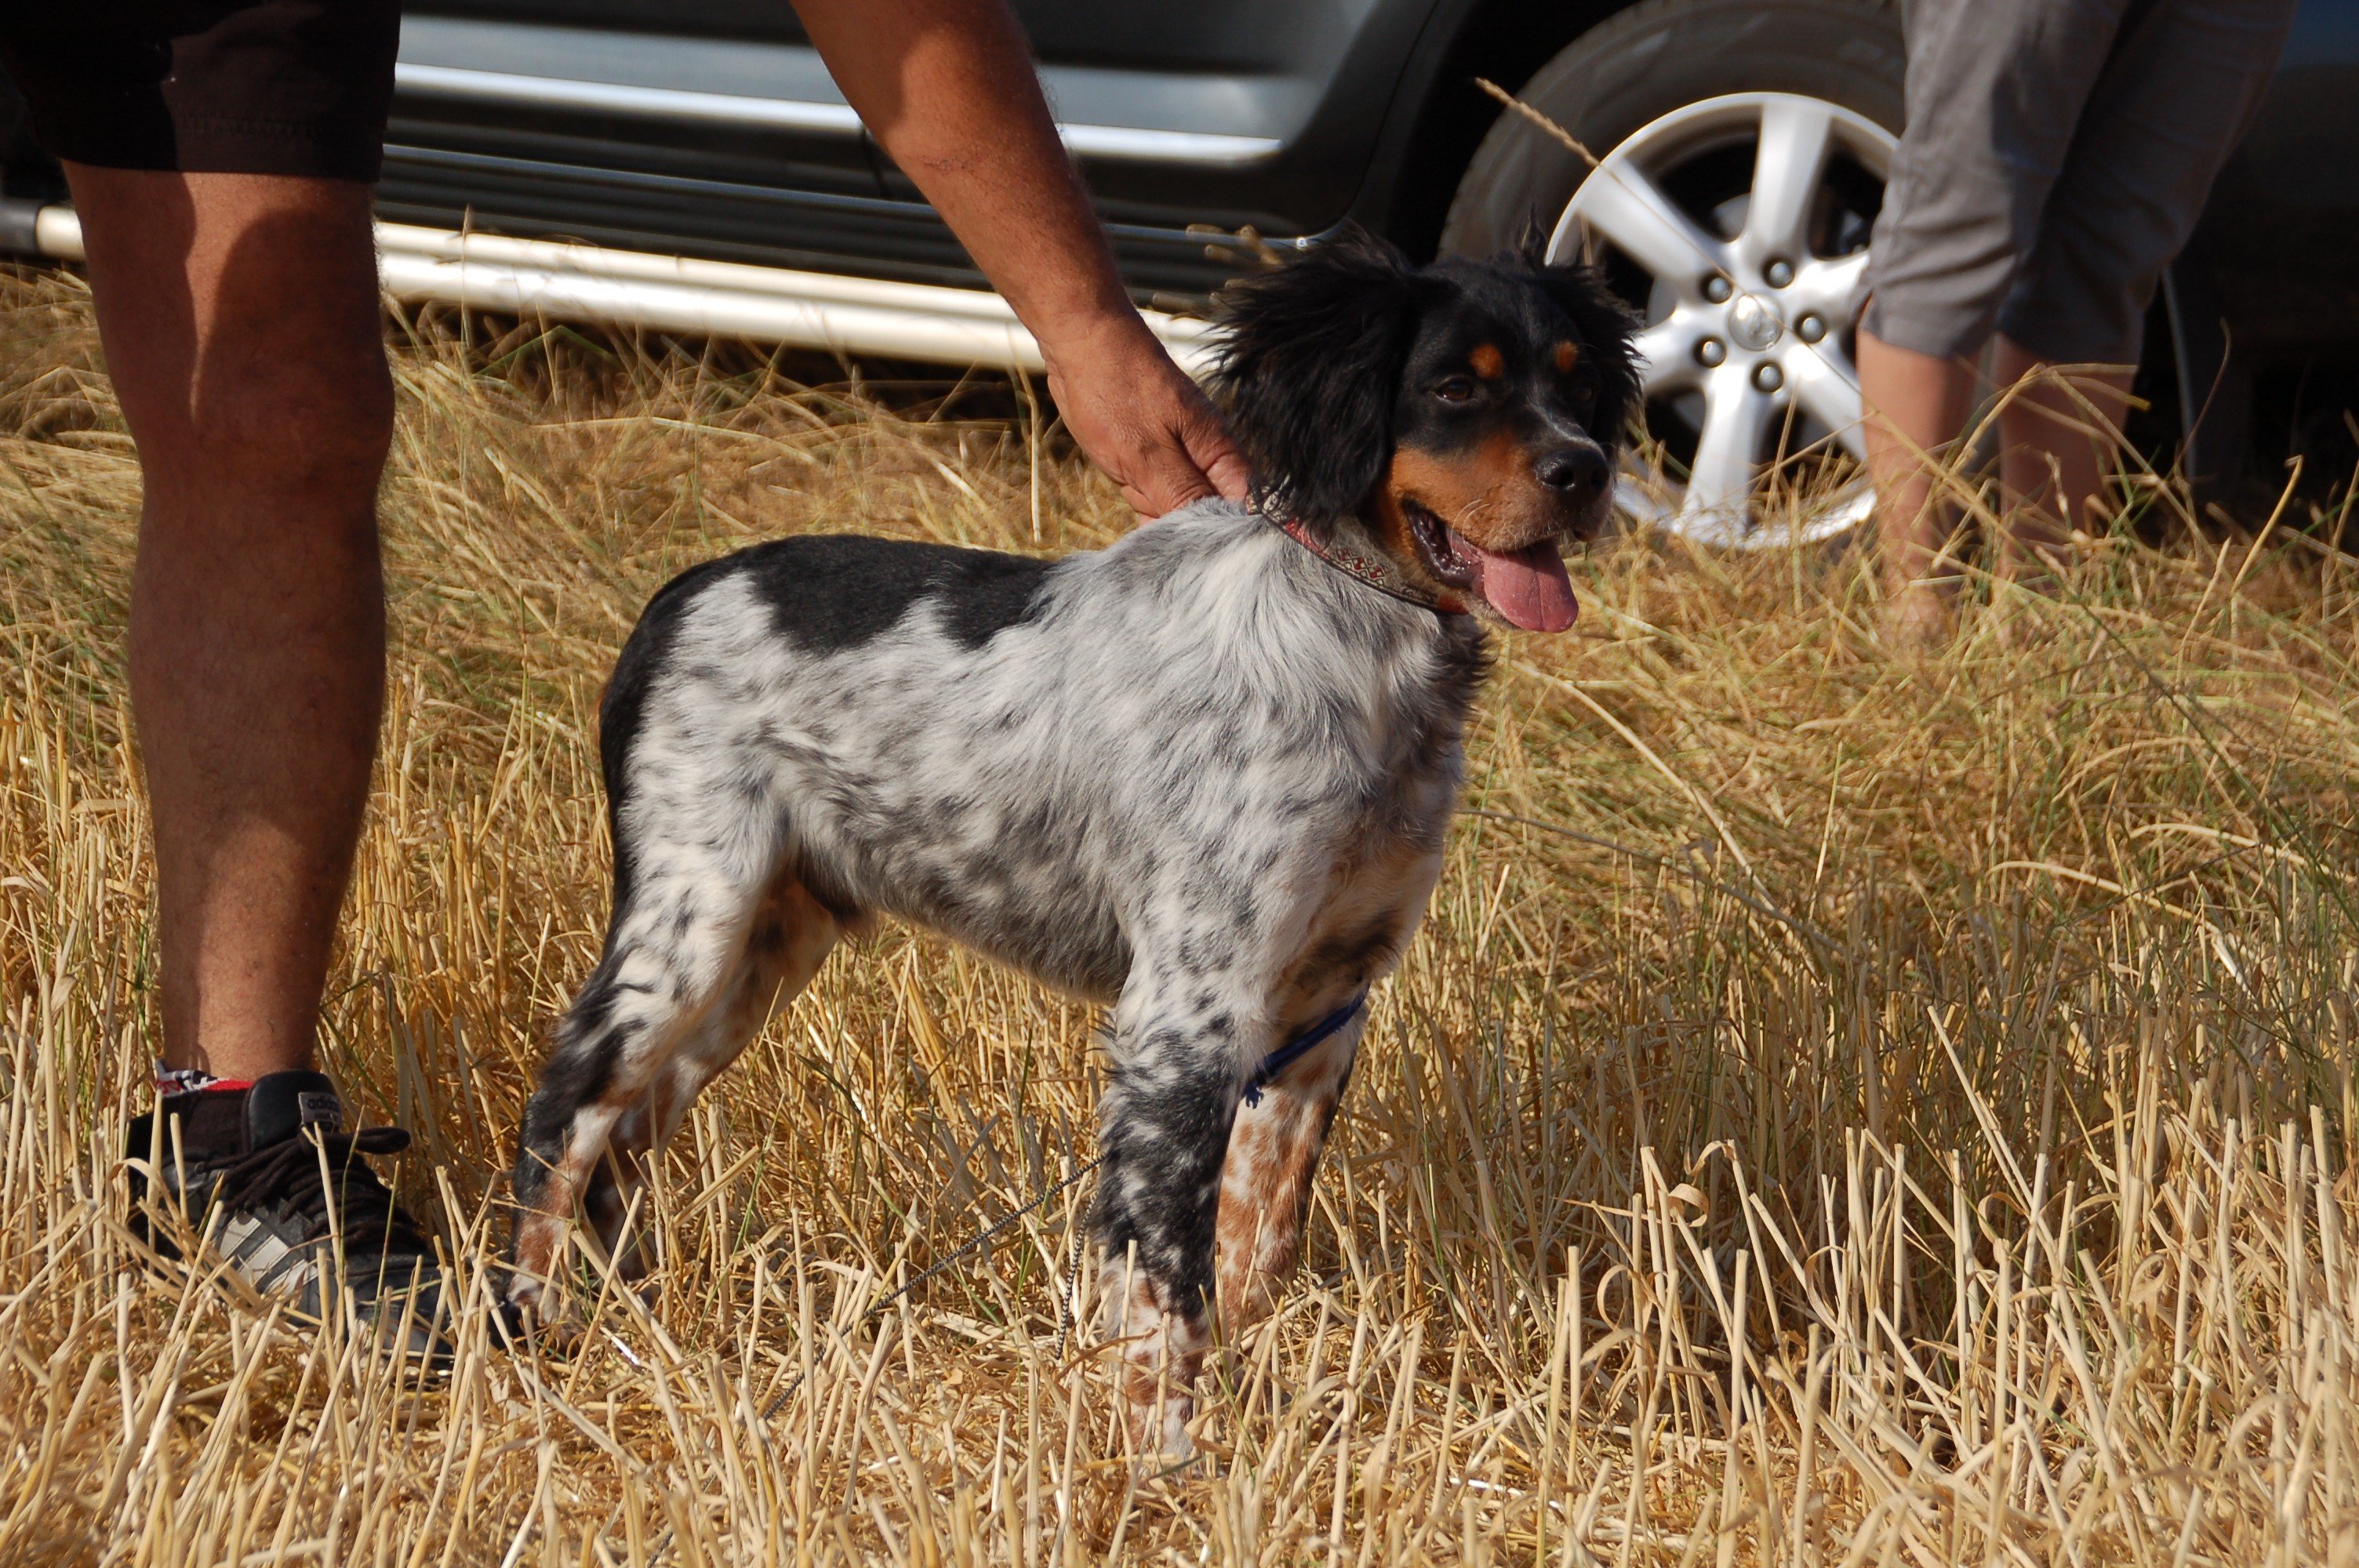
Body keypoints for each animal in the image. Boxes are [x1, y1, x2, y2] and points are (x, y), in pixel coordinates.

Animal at [507, 232, 1632, 1452]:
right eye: (1456, 386)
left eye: (1576, 384)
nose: (1583, 472)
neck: (1361, 641)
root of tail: (674, 596)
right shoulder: (1189, 1013)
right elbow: (1165, 1271)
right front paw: (1162, 1451)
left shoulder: (1323, 1007)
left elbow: (1256, 1244)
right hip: (689, 922)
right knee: (568, 1102)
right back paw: (530, 1324)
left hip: (762, 949)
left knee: (626, 1134)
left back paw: (640, 1322)